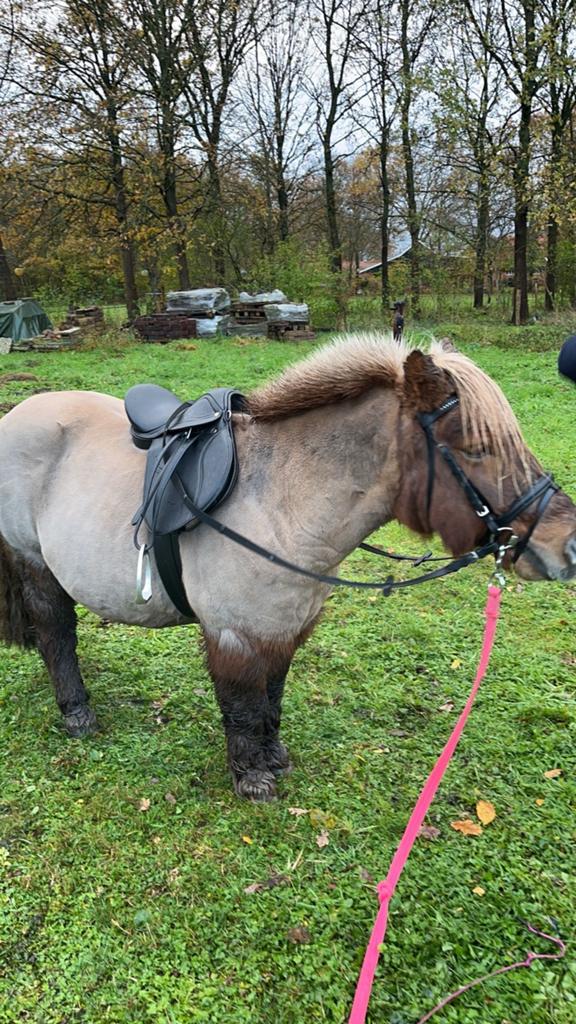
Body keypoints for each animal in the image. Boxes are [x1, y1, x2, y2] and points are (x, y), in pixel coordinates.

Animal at [0, 336, 575, 801]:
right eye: (475, 449)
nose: (565, 545)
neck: (281, 500)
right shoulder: (233, 634)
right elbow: (240, 705)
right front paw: (251, 777)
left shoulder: (284, 628)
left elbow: (270, 698)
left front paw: (272, 757)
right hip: (35, 565)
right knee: (56, 634)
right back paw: (77, 711)